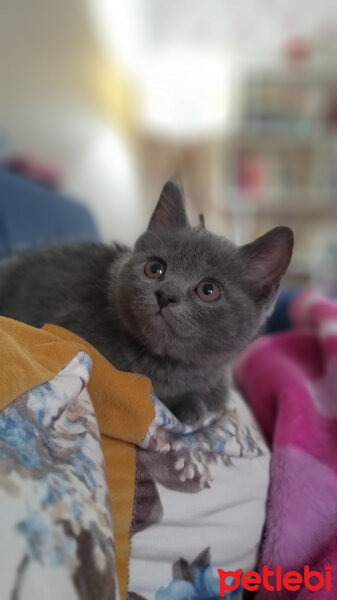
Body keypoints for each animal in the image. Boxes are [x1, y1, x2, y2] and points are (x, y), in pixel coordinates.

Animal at [0, 179, 292, 426]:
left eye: (209, 290)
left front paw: (192, 405)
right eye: (155, 269)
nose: (165, 294)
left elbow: (211, 402)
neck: (165, 366)